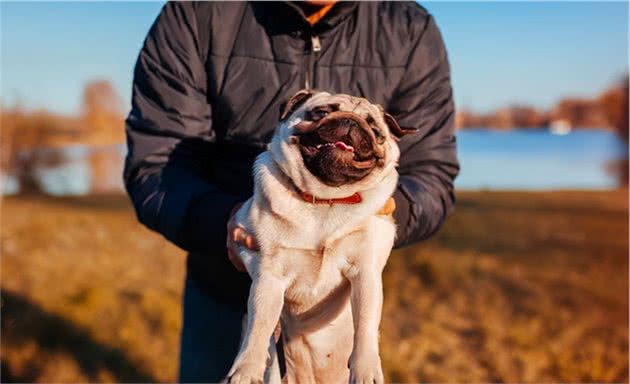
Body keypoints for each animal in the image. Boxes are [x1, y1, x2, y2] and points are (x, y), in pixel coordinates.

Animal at [226, 91, 414, 384]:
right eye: (322, 112)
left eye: (374, 129)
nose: (350, 121)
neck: (326, 200)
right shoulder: (268, 277)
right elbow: (259, 327)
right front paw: (246, 370)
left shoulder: (366, 274)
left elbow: (366, 326)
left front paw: (366, 369)